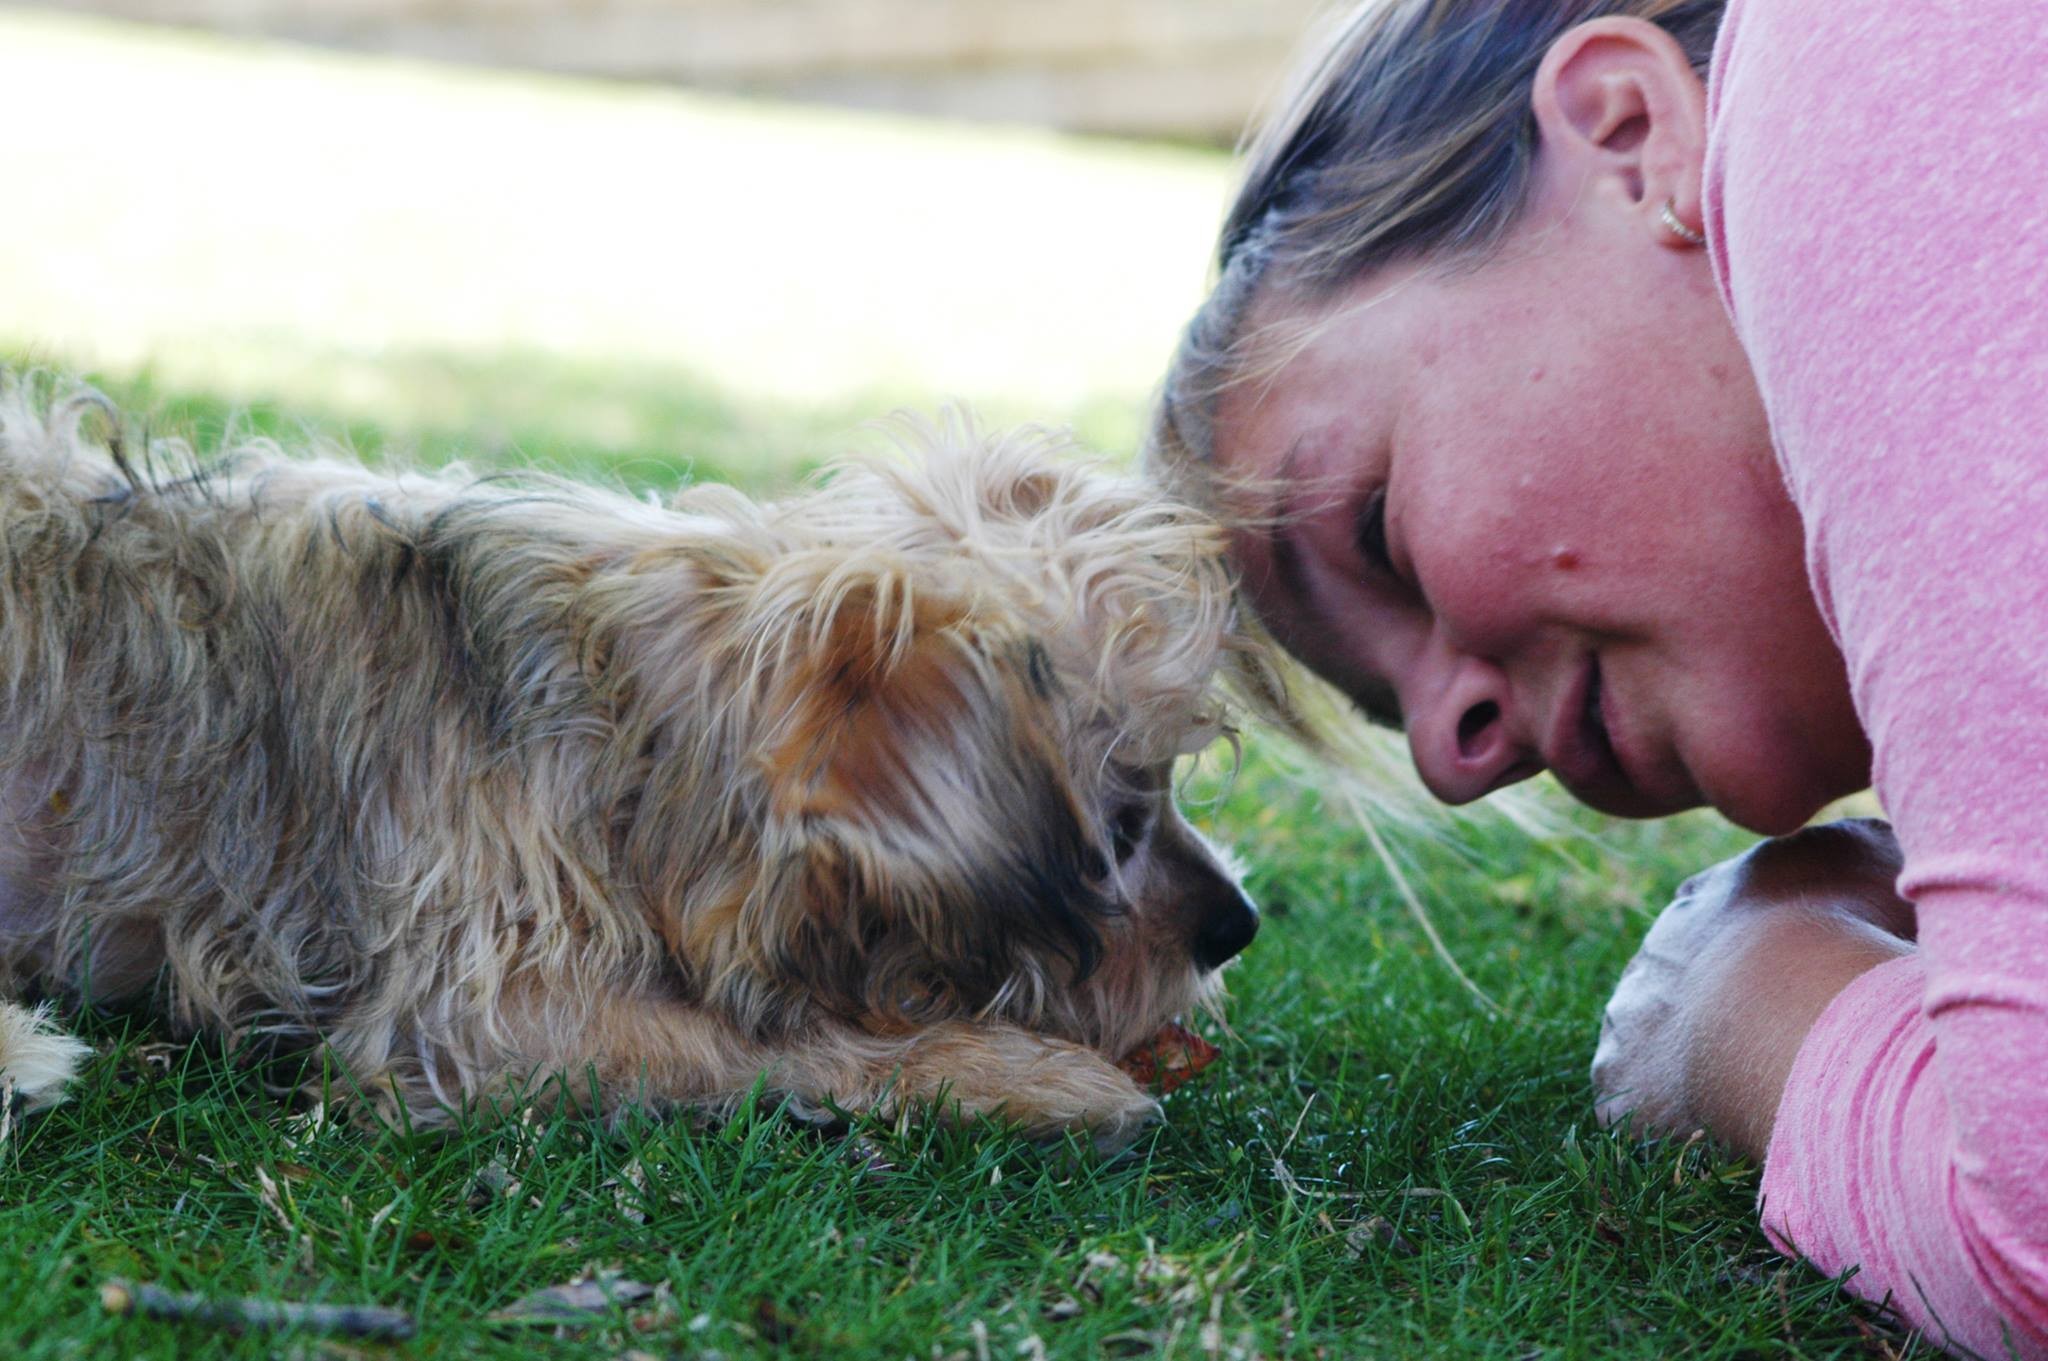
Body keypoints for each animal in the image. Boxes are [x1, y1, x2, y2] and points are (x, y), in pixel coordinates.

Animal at [0, 374, 1278, 1149]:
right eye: (1113, 825)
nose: (1238, 924)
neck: (631, 718)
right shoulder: (482, 1010)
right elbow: (765, 1035)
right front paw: (1015, 1071)